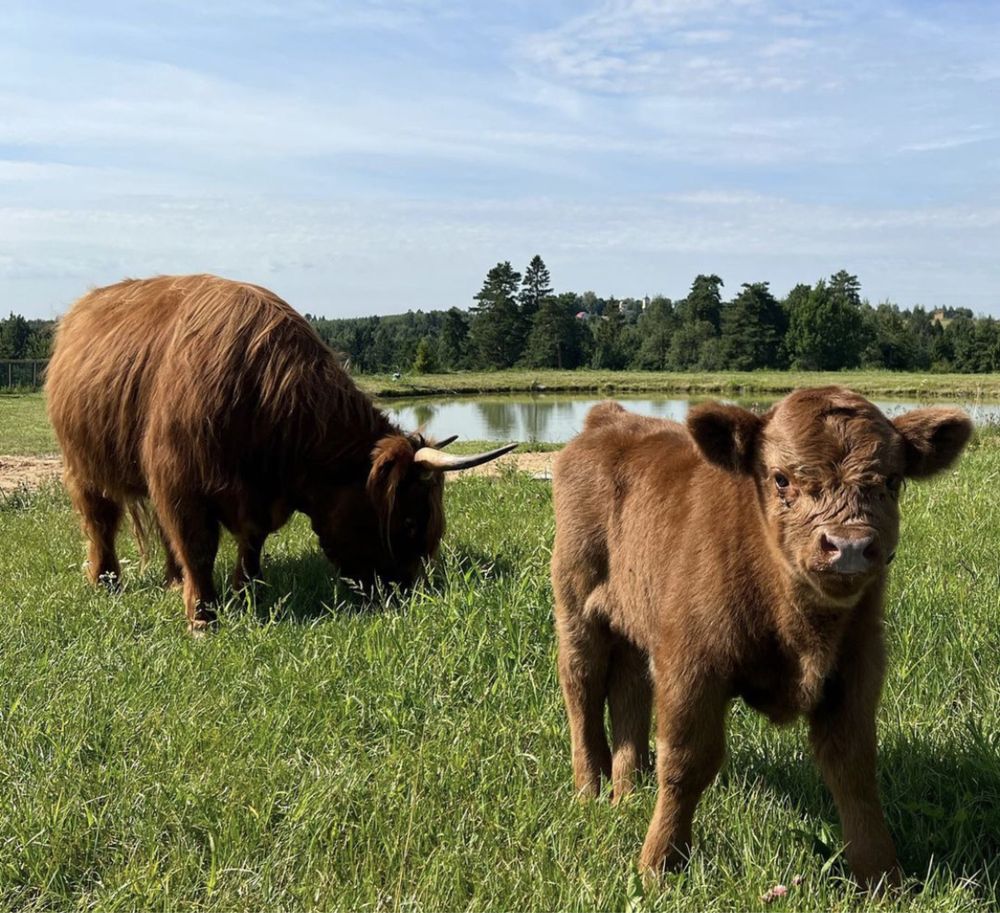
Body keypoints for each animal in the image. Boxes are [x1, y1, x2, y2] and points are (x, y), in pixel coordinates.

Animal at [47, 274, 516, 632]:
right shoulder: (181, 479)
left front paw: (248, 591)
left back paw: (172, 581)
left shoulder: (253, 496)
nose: (405, 593)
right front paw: (203, 619)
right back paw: (107, 581)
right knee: (100, 521)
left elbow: (250, 542)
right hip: (82, 464)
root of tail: (83, 305)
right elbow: (198, 545)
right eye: (408, 520)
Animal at [552, 388, 972, 888]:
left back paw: (628, 792)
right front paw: (659, 866)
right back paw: (589, 792)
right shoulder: (691, 665)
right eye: (781, 478)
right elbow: (686, 763)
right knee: (581, 687)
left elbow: (853, 769)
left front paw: (882, 877)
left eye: (892, 480)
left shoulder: (858, 669)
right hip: (576, 606)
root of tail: (609, 418)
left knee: (629, 691)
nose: (849, 546)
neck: (799, 628)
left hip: (633, 625)